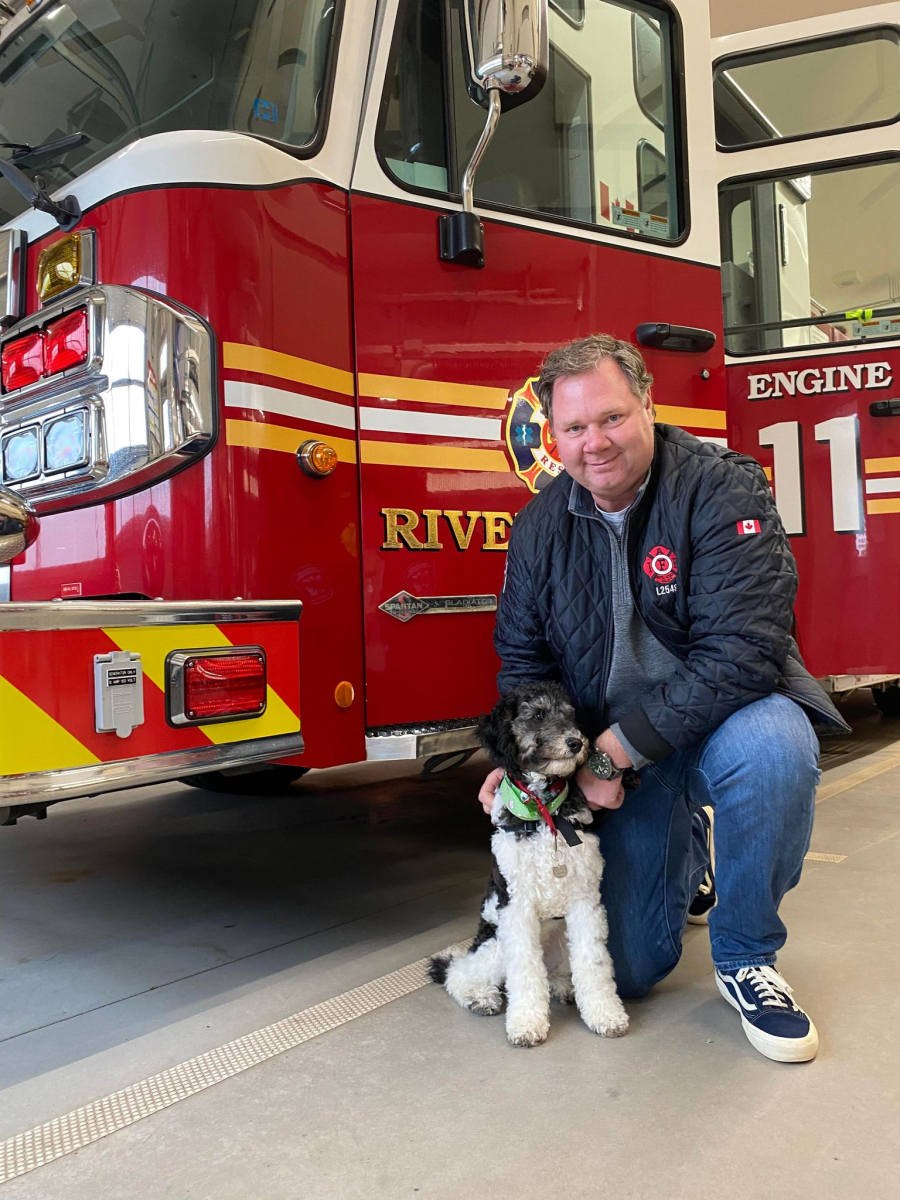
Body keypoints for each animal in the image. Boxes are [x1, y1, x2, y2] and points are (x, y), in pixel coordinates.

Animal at [427, 686, 628, 1051]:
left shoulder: (584, 901)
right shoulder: (516, 909)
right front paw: (526, 1024)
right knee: (458, 972)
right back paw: (480, 997)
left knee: (555, 973)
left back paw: (563, 987)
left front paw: (606, 1015)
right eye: (537, 715)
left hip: (559, 940)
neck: (544, 810)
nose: (576, 742)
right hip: (494, 944)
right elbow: (524, 972)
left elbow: (594, 963)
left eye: (571, 714)